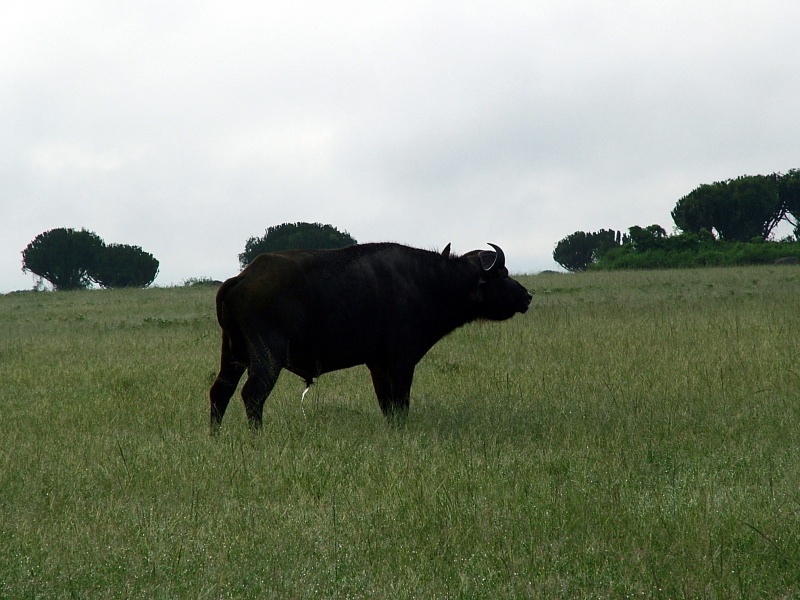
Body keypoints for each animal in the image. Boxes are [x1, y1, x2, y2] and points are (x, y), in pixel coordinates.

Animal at [209, 242, 532, 430]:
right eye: (501, 273)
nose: (526, 296)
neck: (430, 281)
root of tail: (240, 278)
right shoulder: (401, 363)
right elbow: (400, 404)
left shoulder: (377, 365)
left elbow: (386, 404)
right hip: (266, 356)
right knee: (252, 394)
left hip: (234, 353)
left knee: (220, 391)